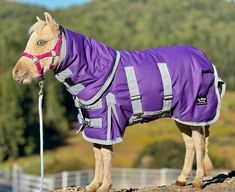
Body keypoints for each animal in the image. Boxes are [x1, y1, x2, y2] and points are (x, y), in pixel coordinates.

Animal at [13, 12, 226, 191]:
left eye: (41, 41)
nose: (17, 73)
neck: (95, 70)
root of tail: (203, 57)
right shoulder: (96, 123)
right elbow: (97, 154)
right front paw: (93, 185)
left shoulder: (108, 121)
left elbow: (106, 155)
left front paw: (105, 186)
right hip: (181, 116)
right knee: (189, 143)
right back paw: (181, 180)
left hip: (195, 112)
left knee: (198, 142)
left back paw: (197, 182)